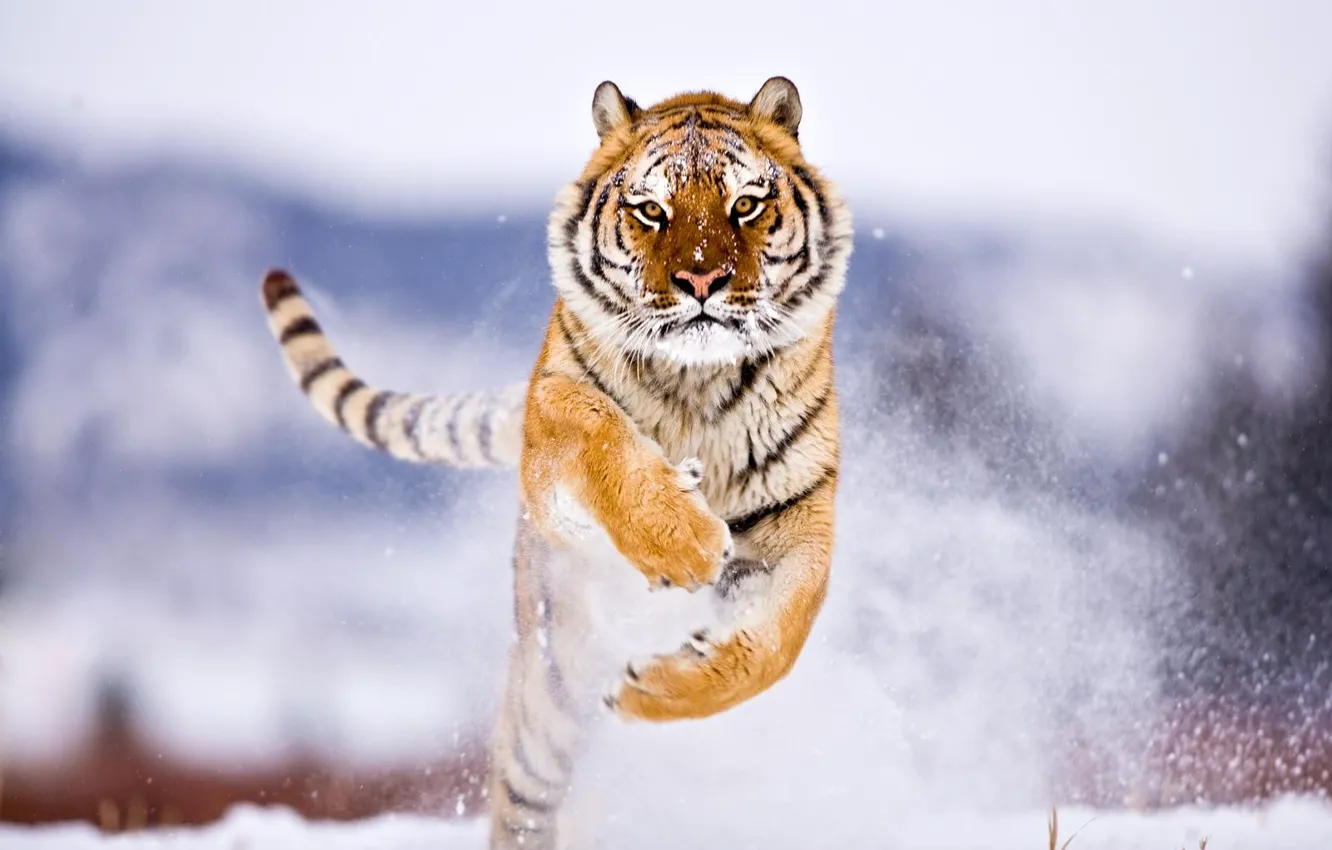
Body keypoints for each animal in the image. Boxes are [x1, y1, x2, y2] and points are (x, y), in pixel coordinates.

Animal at [259, 76, 852, 849]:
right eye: (651, 210)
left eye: (745, 205)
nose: (701, 281)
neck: (696, 384)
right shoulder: (551, 432)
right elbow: (599, 434)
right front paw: (684, 539)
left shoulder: (797, 521)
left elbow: (775, 645)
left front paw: (653, 687)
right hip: (548, 696)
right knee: (523, 801)